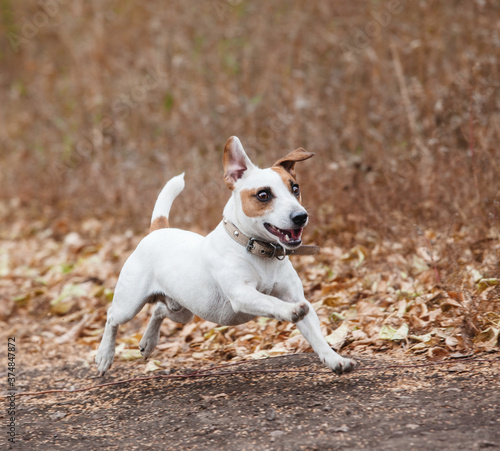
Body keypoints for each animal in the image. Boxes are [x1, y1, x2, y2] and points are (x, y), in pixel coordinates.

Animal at [95, 136, 356, 376]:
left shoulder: (294, 295)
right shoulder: (242, 294)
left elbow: (316, 335)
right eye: (263, 195)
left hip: (183, 311)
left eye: (295, 188)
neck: (258, 250)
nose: (301, 216)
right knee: (112, 317)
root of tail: (158, 230)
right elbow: (272, 302)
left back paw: (148, 342)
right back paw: (104, 355)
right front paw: (290, 312)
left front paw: (335, 360)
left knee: (159, 310)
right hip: (129, 304)